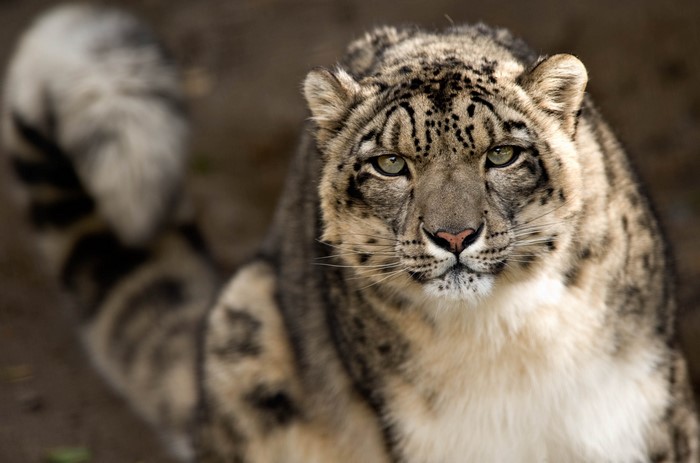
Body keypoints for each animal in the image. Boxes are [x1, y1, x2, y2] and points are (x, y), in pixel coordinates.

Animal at [2, 4, 698, 462]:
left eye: (502, 155)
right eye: (390, 164)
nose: (454, 236)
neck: (510, 340)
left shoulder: (648, 410)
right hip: (244, 331)